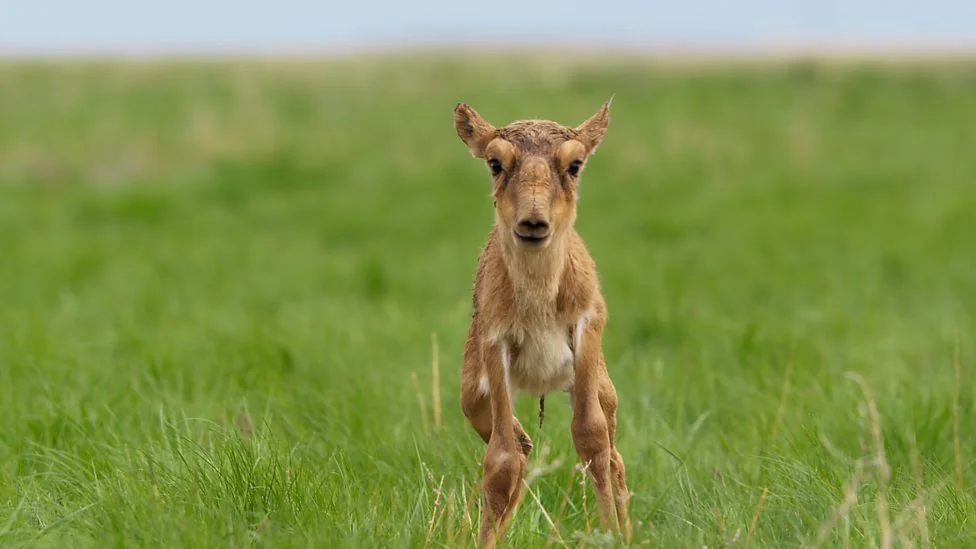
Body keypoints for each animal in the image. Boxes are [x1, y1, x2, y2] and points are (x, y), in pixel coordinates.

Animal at [456, 100, 632, 544]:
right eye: (495, 162)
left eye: (575, 164)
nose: (533, 222)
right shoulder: (495, 345)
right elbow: (501, 461)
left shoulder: (587, 327)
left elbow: (590, 437)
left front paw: (611, 535)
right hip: (474, 398)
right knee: (520, 445)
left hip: (603, 388)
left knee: (614, 455)